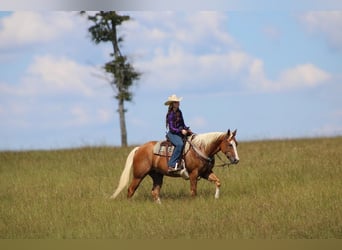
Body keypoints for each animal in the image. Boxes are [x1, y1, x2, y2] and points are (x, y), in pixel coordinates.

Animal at [111, 130, 239, 202]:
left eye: (236, 144)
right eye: (229, 144)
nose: (236, 160)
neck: (201, 148)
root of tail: (139, 148)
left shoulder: (205, 173)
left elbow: (218, 182)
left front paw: (216, 198)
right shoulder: (193, 174)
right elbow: (193, 191)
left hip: (157, 175)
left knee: (155, 192)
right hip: (139, 175)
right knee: (131, 190)